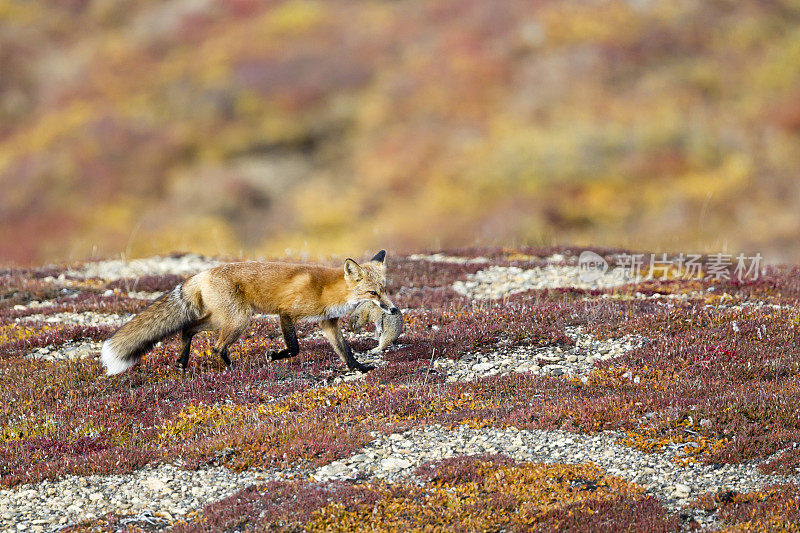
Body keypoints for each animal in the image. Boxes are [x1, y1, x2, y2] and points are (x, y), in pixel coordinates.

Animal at [102, 249, 396, 374]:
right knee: (216, 347)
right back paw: (233, 368)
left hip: (223, 319)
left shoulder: (328, 323)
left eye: (385, 289)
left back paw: (182, 363)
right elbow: (294, 348)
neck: (327, 290)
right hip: (238, 320)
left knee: (187, 329)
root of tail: (201, 274)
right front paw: (274, 356)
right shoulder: (286, 313)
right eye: (373, 293)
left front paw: (359, 368)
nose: (393, 309)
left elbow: (345, 350)